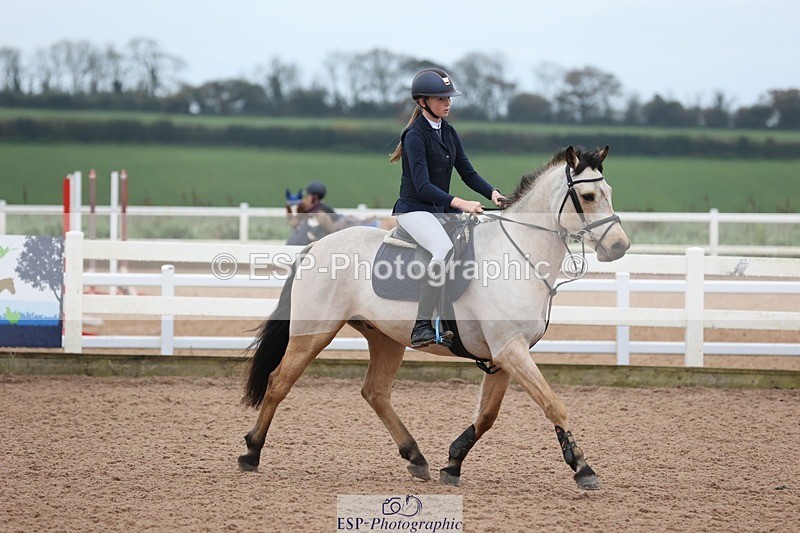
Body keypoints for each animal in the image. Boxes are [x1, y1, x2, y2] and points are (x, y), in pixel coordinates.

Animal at [238, 145, 631, 490]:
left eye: (609, 192)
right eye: (590, 196)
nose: (620, 247)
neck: (519, 254)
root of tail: (316, 246)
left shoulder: (504, 356)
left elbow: (487, 415)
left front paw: (453, 461)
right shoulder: (510, 350)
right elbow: (553, 404)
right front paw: (582, 467)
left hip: (386, 338)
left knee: (375, 392)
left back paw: (416, 457)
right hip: (313, 332)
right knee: (278, 382)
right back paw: (252, 452)